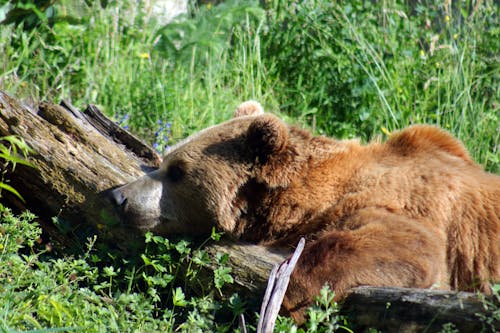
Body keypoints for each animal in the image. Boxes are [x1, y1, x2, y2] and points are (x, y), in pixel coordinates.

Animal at [112, 100, 500, 320]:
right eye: (166, 160)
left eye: (178, 171)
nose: (120, 197)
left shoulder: (407, 201)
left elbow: (411, 245)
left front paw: (285, 299)